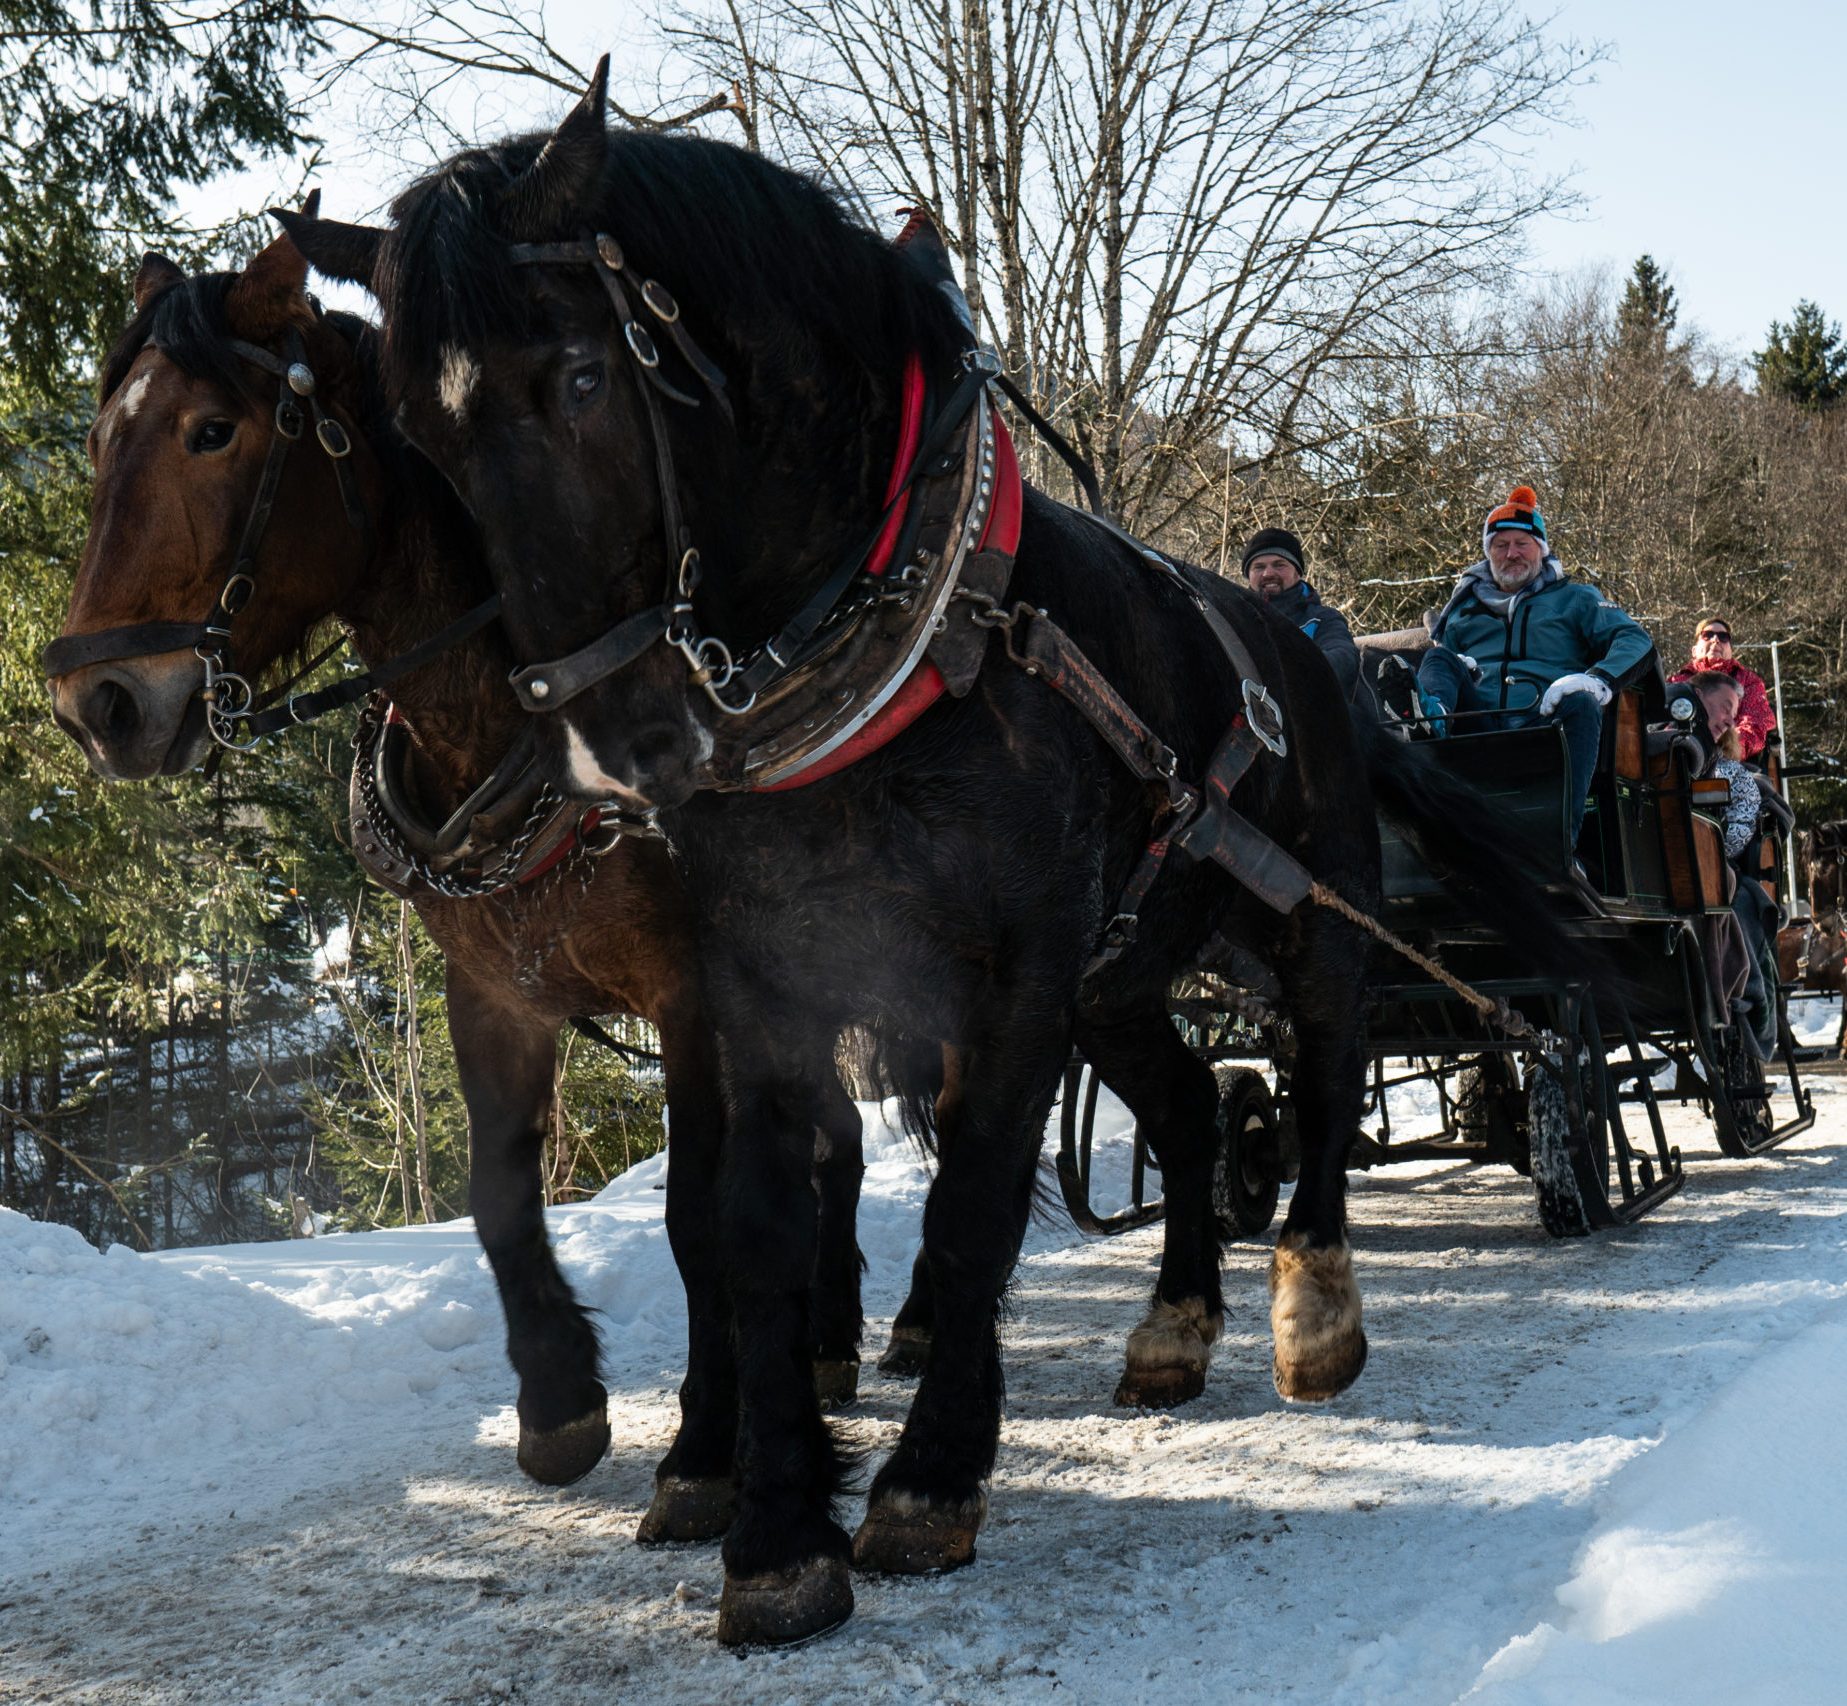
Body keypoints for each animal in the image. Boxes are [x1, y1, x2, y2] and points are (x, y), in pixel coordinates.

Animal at [288, 73, 1588, 1646]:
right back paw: (1171, 1324)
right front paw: (777, 1526)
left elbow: (971, 1200)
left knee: (1327, 1074)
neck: (904, 647)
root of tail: (1323, 660)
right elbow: (758, 1223)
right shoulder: (768, 969)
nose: (606, 745)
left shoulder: (1012, 967)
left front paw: (924, 1479)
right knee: (1189, 1107)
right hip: (1126, 967)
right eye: (419, 441)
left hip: (1305, 913)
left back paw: (1313, 1308)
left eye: (583, 380)